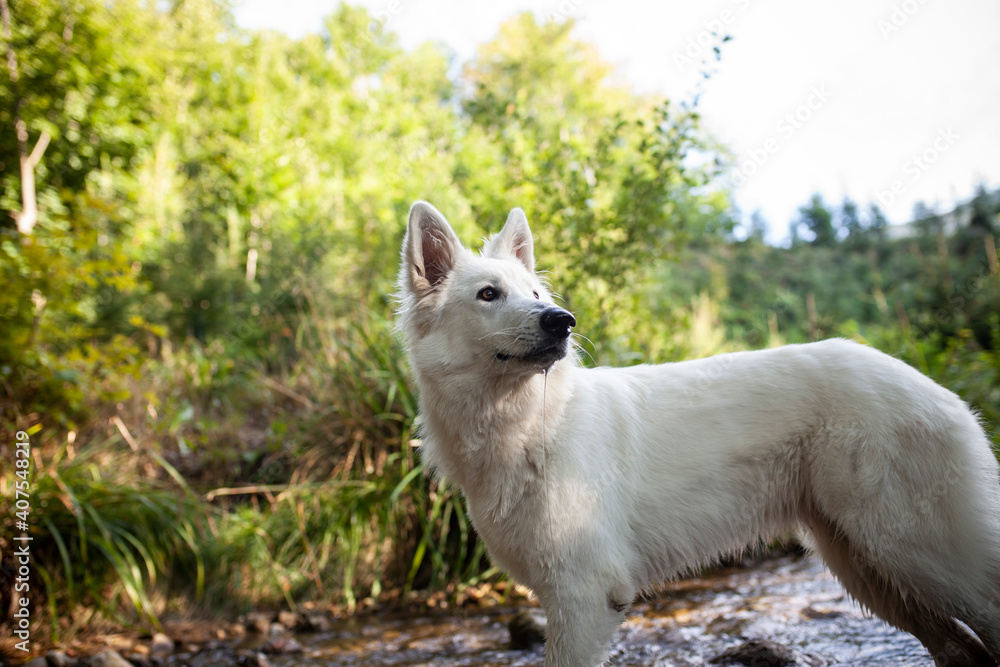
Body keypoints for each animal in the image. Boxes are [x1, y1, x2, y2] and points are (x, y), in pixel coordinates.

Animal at [396, 201, 1000, 667]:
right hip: (871, 572)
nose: (562, 321)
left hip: (920, 554)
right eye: (489, 294)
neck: (531, 424)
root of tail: (934, 387)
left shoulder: (584, 597)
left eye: (535, 294)